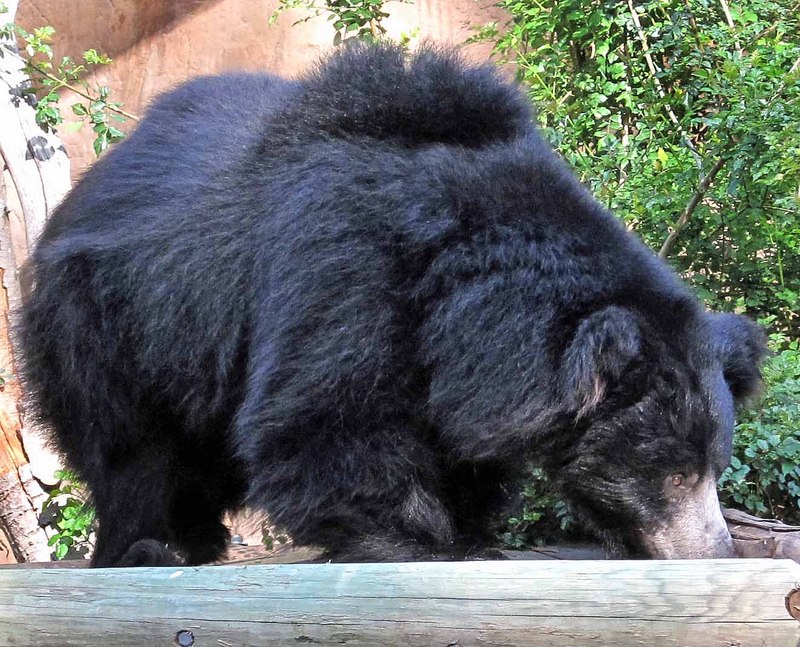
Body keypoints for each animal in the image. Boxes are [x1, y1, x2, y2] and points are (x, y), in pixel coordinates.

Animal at [18, 43, 766, 567]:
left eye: (715, 465)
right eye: (675, 474)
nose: (715, 552)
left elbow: (458, 440)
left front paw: (468, 528)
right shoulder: (346, 268)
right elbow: (324, 416)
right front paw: (417, 540)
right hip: (110, 317)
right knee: (131, 447)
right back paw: (152, 544)